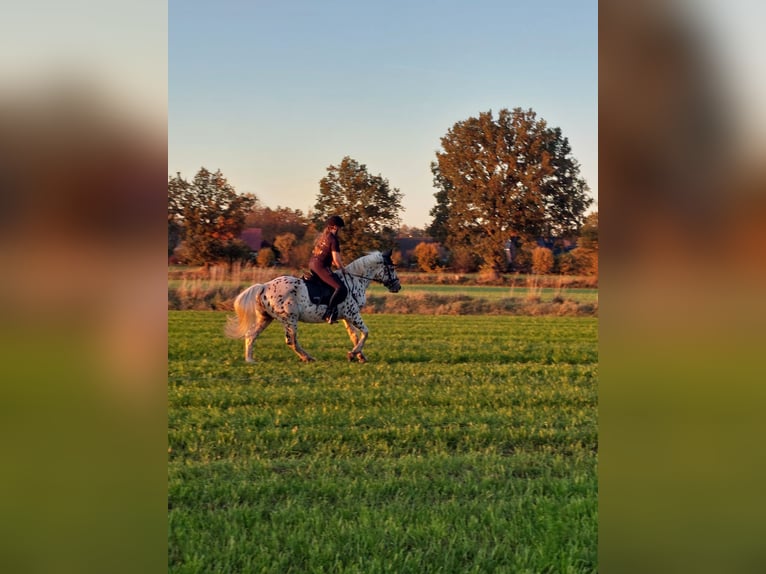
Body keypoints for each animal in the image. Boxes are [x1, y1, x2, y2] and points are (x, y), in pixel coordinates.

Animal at [225, 251, 402, 364]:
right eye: (392, 268)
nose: (397, 287)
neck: (355, 281)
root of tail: (264, 286)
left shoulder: (347, 316)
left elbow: (355, 336)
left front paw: (359, 356)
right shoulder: (353, 314)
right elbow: (365, 333)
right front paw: (353, 354)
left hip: (266, 318)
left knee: (251, 335)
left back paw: (250, 360)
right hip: (290, 319)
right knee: (291, 341)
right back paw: (308, 358)